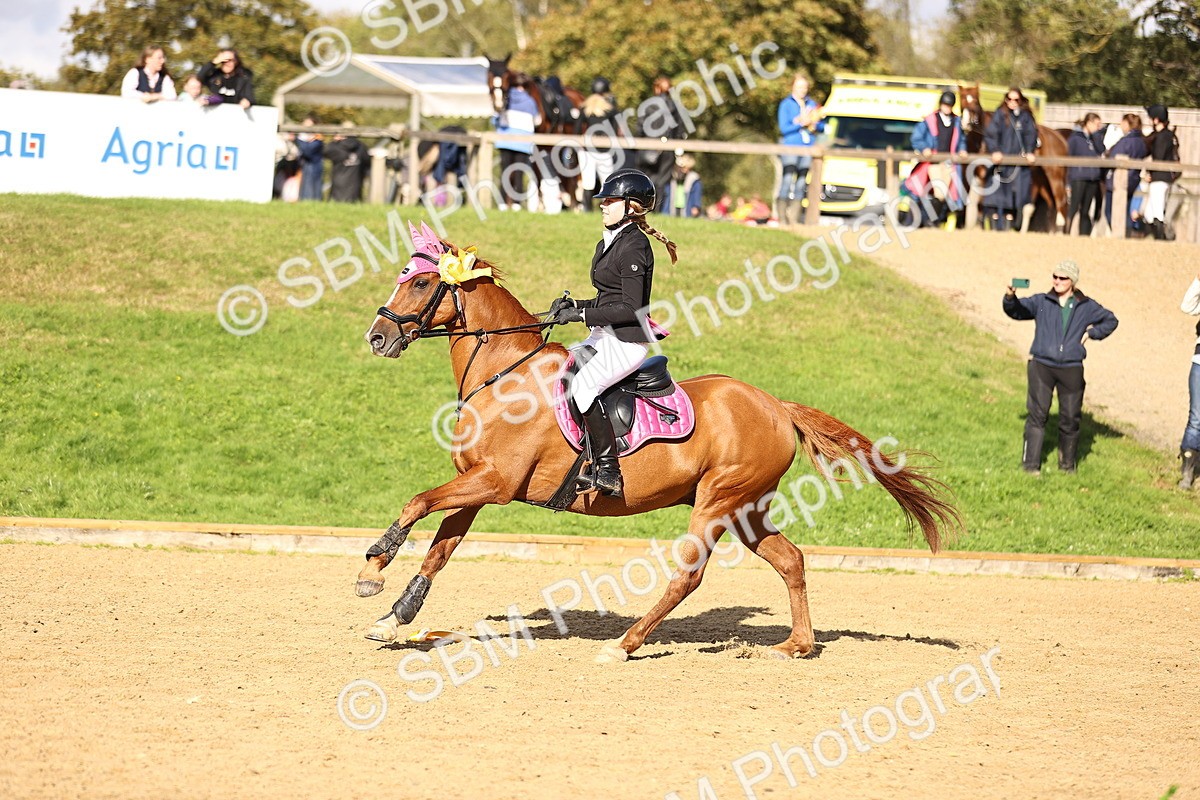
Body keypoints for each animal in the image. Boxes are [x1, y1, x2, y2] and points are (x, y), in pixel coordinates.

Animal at [354, 221, 964, 663]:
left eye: (420, 283)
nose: (377, 337)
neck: (505, 375)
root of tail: (775, 405)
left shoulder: (495, 483)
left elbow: (417, 503)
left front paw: (371, 569)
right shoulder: (476, 485)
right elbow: (440, 548)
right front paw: (393, 618)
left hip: (719, 501)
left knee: (689, 575)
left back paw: (623, 646)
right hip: (745, 508)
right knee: (790, 560)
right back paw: (796, 645)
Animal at [487, 55, 586, 212]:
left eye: (505, 76)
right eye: (489, 75)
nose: (498, 103)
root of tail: (580, 96)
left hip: (574, 144)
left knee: (575, 172)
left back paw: (576, 202)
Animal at [958, 85, 1069, 233]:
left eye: (975, 101)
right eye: (962, 101)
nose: (965, 123)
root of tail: (1060, 138)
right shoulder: (977, 176)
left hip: (1055, 176)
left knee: (1061, 201)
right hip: (1042, 181)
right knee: (1052, 203)